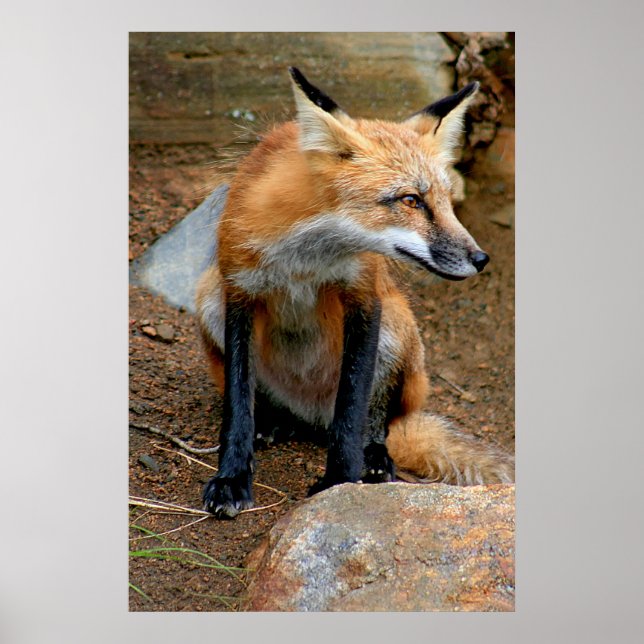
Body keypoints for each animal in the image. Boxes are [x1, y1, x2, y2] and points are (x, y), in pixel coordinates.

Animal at [196, 67, 514, 518]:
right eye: (411, 200)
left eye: (449, 202)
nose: (481, 258)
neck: (303, 259)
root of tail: (312, 414)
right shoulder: (238, 291)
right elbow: (237, 405)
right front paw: (232, 477)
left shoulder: (363, 296)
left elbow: (352, 405)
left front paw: (339, 481)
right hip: (208, 301)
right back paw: (273, 421)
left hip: (398, 329)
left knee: (376, 420)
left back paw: (375, 458)